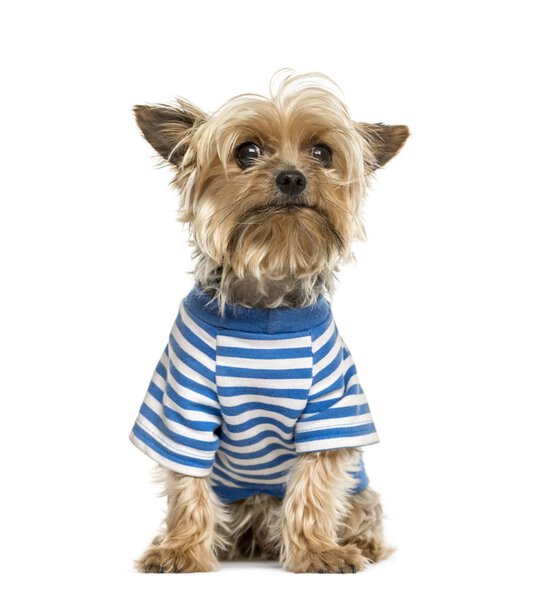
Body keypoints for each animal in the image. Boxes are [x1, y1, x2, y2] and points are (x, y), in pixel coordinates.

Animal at [129, 70, 408, 572]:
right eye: (247, 152)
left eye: (322, 153)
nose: (292, 176)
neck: (265, 306)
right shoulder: (181, 407)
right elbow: (187, 485)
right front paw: (179, 550)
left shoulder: (330, 410)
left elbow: (315, 484)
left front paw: (318, 551)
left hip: (359, 488)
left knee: (363, 507)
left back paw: (361, 543)